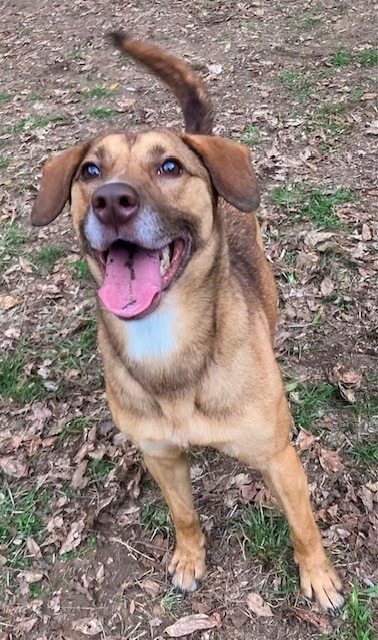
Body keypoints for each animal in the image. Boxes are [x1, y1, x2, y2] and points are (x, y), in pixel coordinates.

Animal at [31, 32, 344, 612]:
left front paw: (318, 576)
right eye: (90, 171)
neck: (166, 341)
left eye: (170, 167)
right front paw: (189, 559)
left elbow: (303, 526)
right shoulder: (161, 456)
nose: (111, 200)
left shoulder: (280, 459)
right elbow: (184, 515)